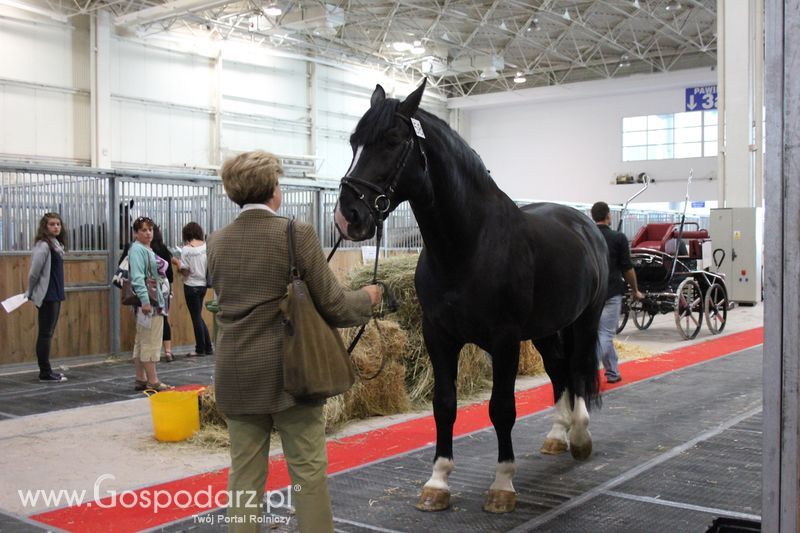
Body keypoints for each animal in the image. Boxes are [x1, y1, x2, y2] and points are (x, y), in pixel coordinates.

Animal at [336, 79, 608, 512]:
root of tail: (583, 223)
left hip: (584, 319)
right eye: (353, 142)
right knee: (559, 370)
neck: (468, 244)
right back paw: (557, 435)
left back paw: (580, 437)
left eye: (392, 140)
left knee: (580, 369)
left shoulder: (505, 339)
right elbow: (444, 405)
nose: (348, 216)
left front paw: (502, 485)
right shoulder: (438, 336)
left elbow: (501, 408)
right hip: (546, 330)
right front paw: (437, 483)